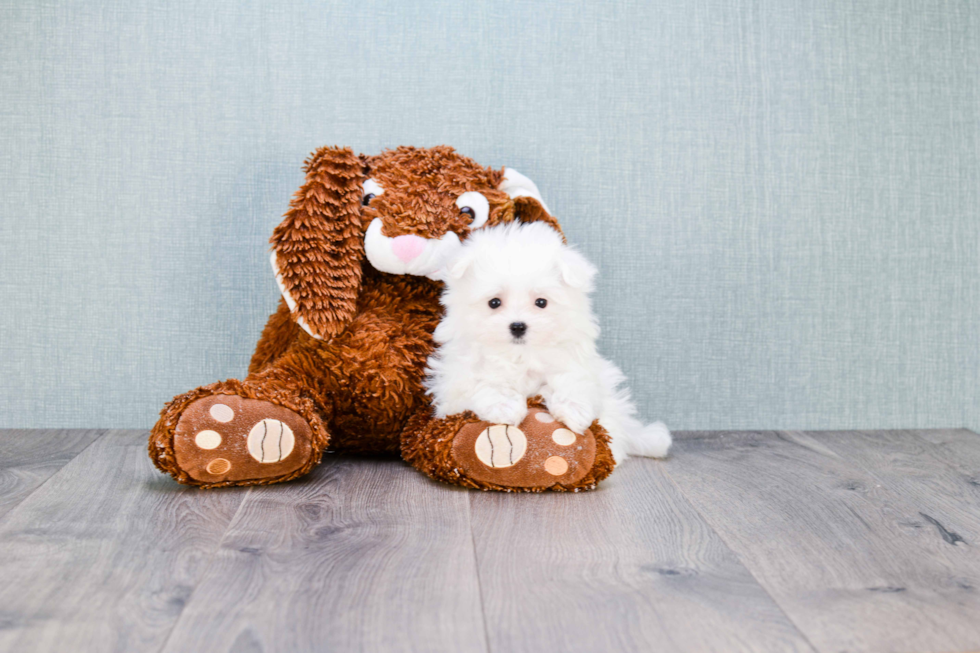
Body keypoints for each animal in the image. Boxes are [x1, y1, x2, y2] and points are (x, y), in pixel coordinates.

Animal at [424, 220, 668, 464]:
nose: (518, 326)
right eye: (494, 302)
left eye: (541, 302)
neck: (520, 354)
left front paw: (574, 410)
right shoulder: (456, 381)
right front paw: (505, 406)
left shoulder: (574, 362)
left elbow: (570, 380)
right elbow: (483, 383)